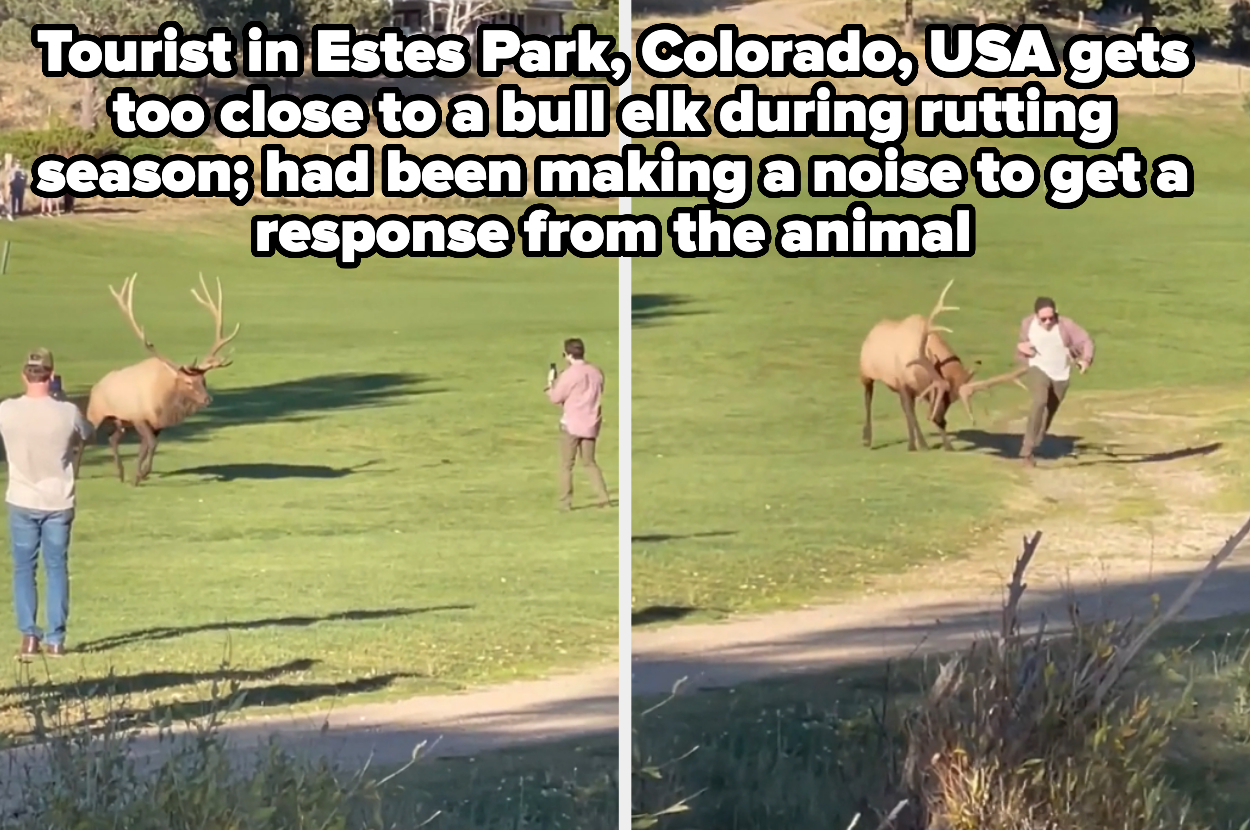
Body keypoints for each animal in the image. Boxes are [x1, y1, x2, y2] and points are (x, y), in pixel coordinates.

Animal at [75, 272, 238, 482]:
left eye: (203, 380)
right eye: (188, 382)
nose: (207, 399)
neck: (165, 404)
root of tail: (95, 386)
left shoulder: (155, 424)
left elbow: (146, 447)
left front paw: (138, 474)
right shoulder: (140, 418)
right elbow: (151, 444)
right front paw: (140, 475)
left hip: (121, 421)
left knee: (112, 438)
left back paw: (120, 473)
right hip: (96, 412)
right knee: (84, 439)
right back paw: (76, 472)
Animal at [860, 280, 1025, 450]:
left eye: (952, 400)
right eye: (939, 394)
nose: (938, 419)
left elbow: (910, 411)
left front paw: (947, 445)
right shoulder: (903, 382)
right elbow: (910, 412)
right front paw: (921, 445)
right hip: (865, 372)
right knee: (868, 398)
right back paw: (867, 439)